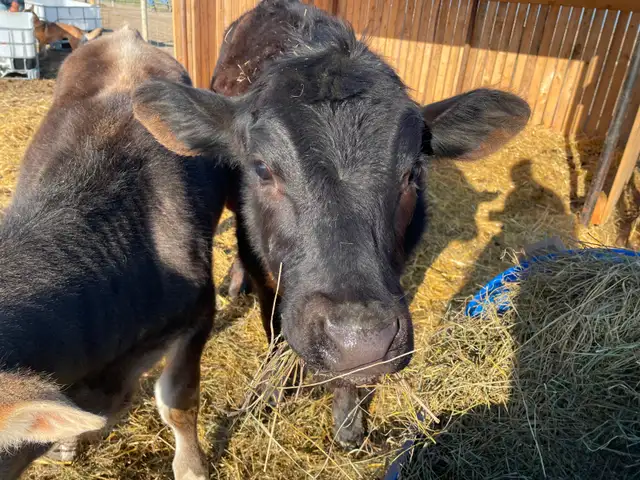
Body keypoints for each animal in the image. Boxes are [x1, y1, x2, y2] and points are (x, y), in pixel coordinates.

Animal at [132, 0, 531, 448]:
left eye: (412, 172)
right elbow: (274, 330)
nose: (360, 340)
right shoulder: (263, 267)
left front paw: (349, 417)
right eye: (262, 168)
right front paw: (268, 393)